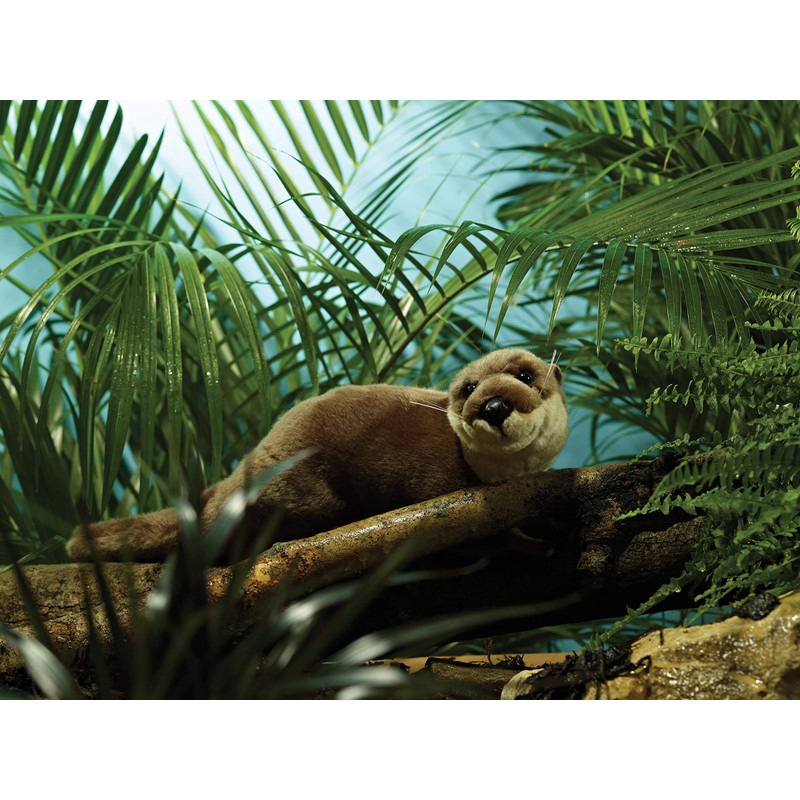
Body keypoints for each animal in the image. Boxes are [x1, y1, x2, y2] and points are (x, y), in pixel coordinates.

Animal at [66, 348, 568, 562]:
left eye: (525, 375)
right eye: (467, 390)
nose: (493, 406)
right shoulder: (438, 482)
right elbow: (482, 538)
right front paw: (530, 539)